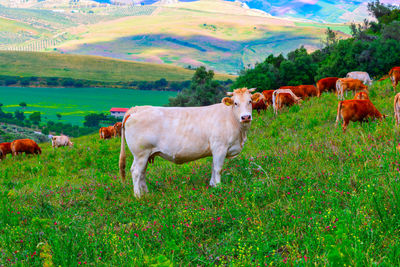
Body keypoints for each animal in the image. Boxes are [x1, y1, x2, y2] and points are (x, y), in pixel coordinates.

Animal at [119, 89, 262, 198]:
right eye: (235, 103)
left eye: (250, 101)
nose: (246, 117)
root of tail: (137, 108)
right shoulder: (220, 147)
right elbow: (218, 168)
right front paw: (219, 187)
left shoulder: (215, 150)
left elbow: (213, 167)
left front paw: (212, 185)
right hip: (140, 153)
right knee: (136, 172)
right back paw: (138, 196)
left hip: (146, 154)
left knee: (142, 172)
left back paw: (146, 193)